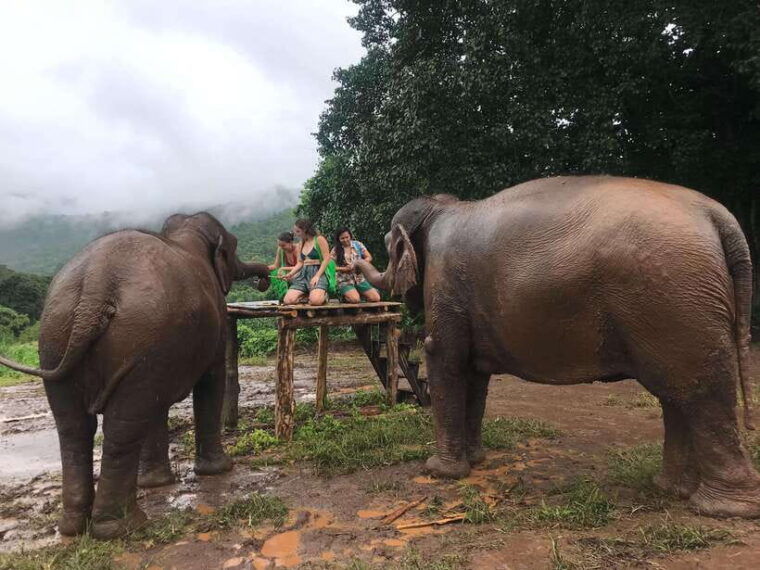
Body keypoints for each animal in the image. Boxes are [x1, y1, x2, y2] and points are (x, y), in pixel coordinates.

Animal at [0, 212, 270, 539]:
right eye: (234, 247)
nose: (264, 280)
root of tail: (96, 283)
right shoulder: (214, 320)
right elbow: (209, 381)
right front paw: (220, 470)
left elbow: (158, 403)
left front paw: (156, 484)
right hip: (130, 334)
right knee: (122, 422)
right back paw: (121, 527)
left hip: (60, 335)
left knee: (78, 426)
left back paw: (76, 527)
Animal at [354, 175, 760, 519]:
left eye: (387, 247)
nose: (354, 260)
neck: (443, 206)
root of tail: (716, 214)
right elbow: (476, 377)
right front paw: (476, 460)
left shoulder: (445, 281)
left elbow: (445, 360)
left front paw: (440, 472)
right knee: (677, 395)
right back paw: (670, 489)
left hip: (675, 299)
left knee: (700, 393)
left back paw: (720, 509)